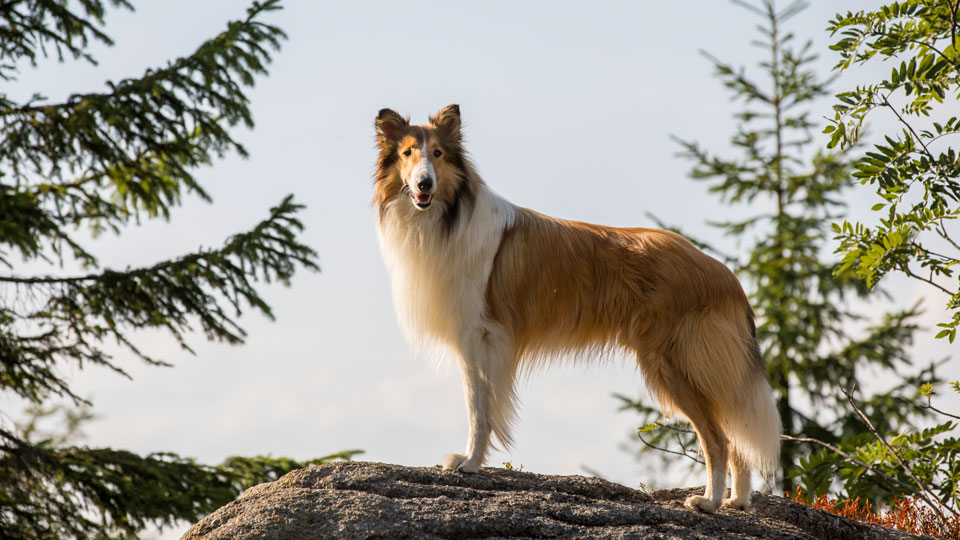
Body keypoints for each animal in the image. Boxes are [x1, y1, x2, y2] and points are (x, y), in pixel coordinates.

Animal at [374, 104, 780, 510]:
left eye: (438, 154)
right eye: (407, 153)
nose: (424, 184)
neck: (448, 216)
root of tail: (724, 274)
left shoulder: (480, 337)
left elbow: (479, 408)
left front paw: (469, 463)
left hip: (675, 362)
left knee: (718, 438)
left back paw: (708, 502)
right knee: (736, 436)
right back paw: (737, 501)